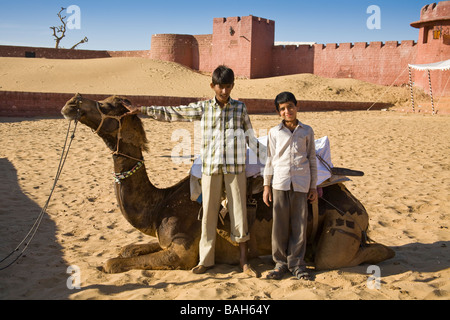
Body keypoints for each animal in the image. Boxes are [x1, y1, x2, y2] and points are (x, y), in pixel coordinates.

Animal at [60, 94, 394, 274]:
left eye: (108, 106)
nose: (72, 102)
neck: (159, 206)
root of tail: (359, 208)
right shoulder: (165, 239)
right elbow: (127, 249)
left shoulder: (182, 252)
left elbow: (112, 263)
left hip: (339, 228)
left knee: (359, 254)